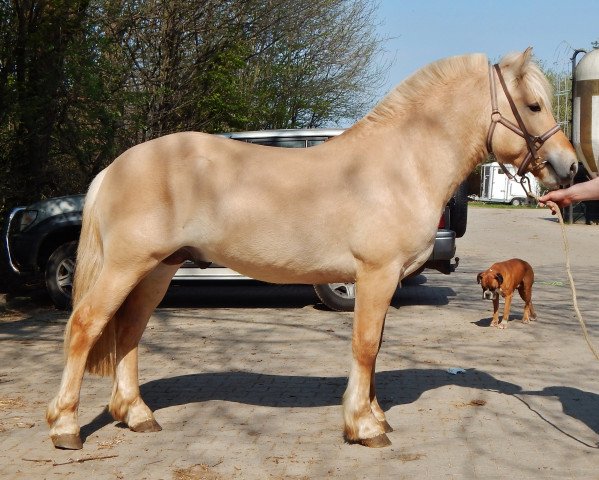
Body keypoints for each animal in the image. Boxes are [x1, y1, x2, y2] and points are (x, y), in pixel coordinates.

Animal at [45, 47, 576, 448]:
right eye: (533, 105)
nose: (569, 167)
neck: (401, 166)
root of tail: (114, 168)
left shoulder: (382, 280)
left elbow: (376, 347)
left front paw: (375, 416)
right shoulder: (376, 273)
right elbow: (365, 346)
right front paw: (363, 427)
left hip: (156, 269)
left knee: (129, 331)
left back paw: (136, 415)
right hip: (126, 267)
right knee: (86, 326)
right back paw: (66, 426)